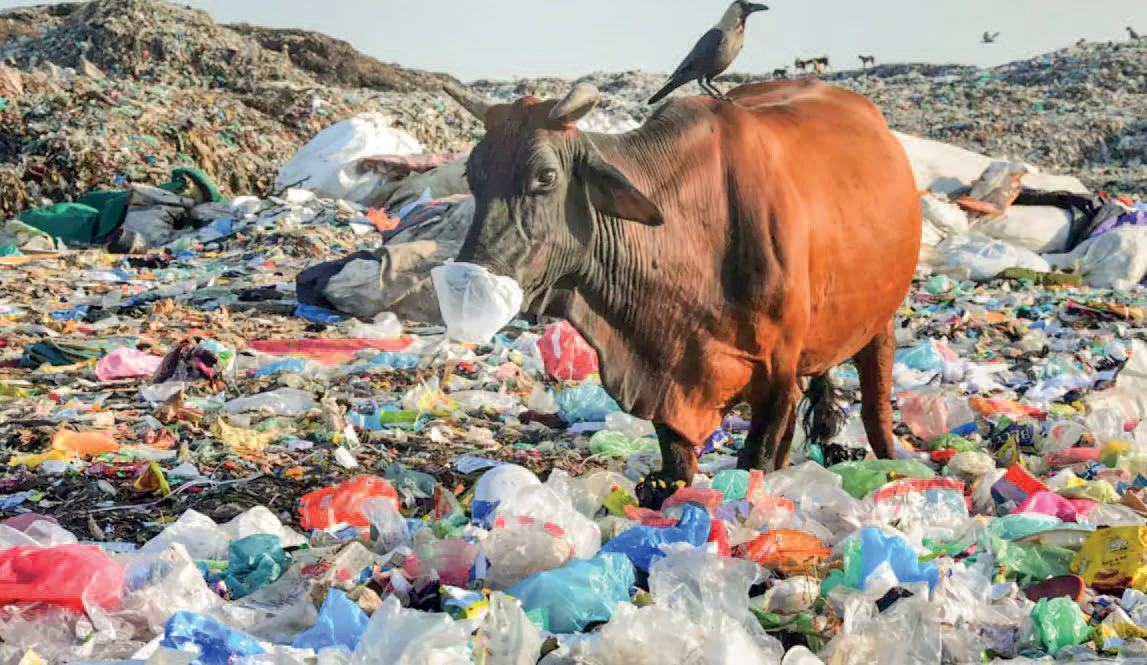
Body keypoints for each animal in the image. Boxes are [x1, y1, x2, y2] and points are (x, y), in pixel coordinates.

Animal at [440, 80, 922, 488]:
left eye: (546, 176)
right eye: (472, 174)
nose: (469, 278)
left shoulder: (776, 379)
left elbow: (755, 461)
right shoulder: (665, 378)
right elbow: (679, 467)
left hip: (880, 322)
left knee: (876, 411)